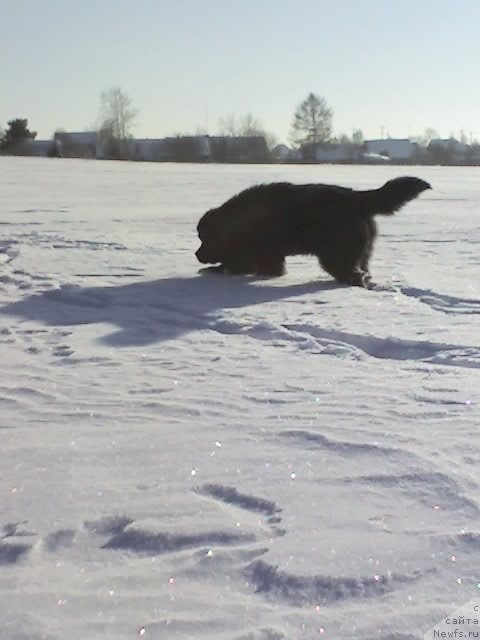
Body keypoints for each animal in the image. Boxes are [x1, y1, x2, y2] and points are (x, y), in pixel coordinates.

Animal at [195, 175, 432, 284]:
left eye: (204, 238)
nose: (197, 254)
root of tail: (355, 198)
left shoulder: (260, 251)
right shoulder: (268, 254)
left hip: (335, 254)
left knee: (351, 273)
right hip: (361, 251)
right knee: (363, 270)